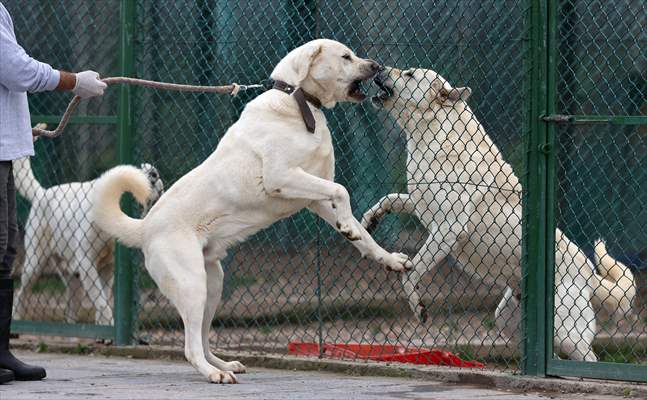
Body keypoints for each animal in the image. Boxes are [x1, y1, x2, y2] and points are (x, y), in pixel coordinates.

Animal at [13, 149, 165, 324]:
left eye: (149, 168)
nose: (154, 173)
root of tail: (43, 193)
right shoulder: (86, 263)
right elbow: (102, 304)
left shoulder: (108, 268)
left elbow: (104, 301)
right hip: (34, 265)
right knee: (20, 294)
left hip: (74, 280)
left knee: (70, 309)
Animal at [91, 38, 410, 384]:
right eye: (346, 56)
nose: (377, 65)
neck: (297, 101)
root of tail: (146, 226)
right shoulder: (281, 178)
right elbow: (343, 191)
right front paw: (349, 228)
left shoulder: (315, 198)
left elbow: (360, 229)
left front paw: (387, 258)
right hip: (192, 285)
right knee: (190, 347)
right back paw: (214, 375)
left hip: (213, 285)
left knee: (202, 339)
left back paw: (224, 365)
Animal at [364, 66, 636, 362]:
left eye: (409, 74)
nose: (379, 67)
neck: (435, 132)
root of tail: (588, 273)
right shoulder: (421, 204)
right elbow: (387, 200)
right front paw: (368, 222)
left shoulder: (447, 229)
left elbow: (410, 273)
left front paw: (419, 308)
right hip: (508, 321)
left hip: (567, 334)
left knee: (589, 357)